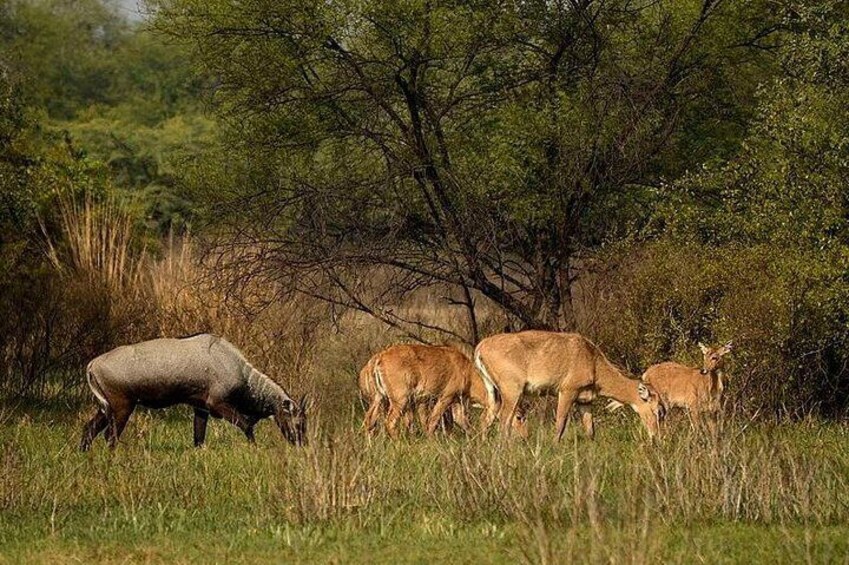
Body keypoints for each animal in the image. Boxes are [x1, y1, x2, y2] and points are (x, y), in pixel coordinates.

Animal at [79, 334, 308, 450]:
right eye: (298, 423)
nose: (302, 445)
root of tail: (92, 365)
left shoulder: (200, 407)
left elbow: (198, 438)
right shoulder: (217, 403)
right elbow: (246, 425)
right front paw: (255, 448)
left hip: (107, 407)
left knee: (89, 428)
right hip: (123, 405)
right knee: (110, 435)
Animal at [474, 330, 664, 440]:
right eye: (657, 410)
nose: (656, 436)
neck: (593, 362)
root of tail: (480, 348)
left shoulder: (585, 400)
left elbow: (590, 430)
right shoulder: (567, 391)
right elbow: (560, 423)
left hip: (493, 392)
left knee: (486, 418)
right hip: (512, 390)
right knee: (504, 420)